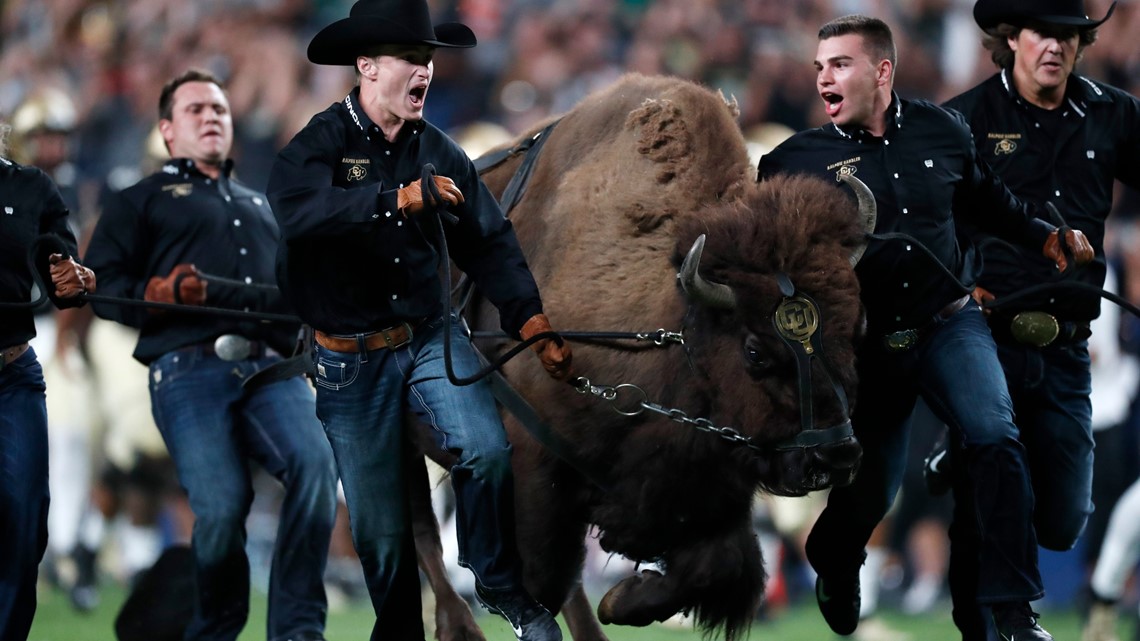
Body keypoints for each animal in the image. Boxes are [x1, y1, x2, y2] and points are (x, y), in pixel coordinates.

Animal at [414, 72, 866, 634]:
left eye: (856, 328)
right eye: (755, 351)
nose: (835, 455)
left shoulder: (705, 492)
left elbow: (717, 565)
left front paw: (622, 601)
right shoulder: (533, 469)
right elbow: (537, 583)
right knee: (418, 529)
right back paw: (457, 626)